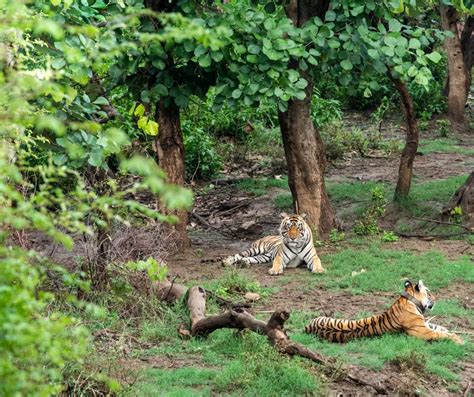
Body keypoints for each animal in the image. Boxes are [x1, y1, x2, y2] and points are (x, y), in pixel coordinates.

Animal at [304, 278, 462, 344]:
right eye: (428, 292)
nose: (435, 298)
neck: (410, 300)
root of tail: (307, 327)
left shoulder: (425, 324)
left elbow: (440, 328)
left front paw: (450, 331)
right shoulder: (422, 331)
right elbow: (441, 334)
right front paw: (459, 339)